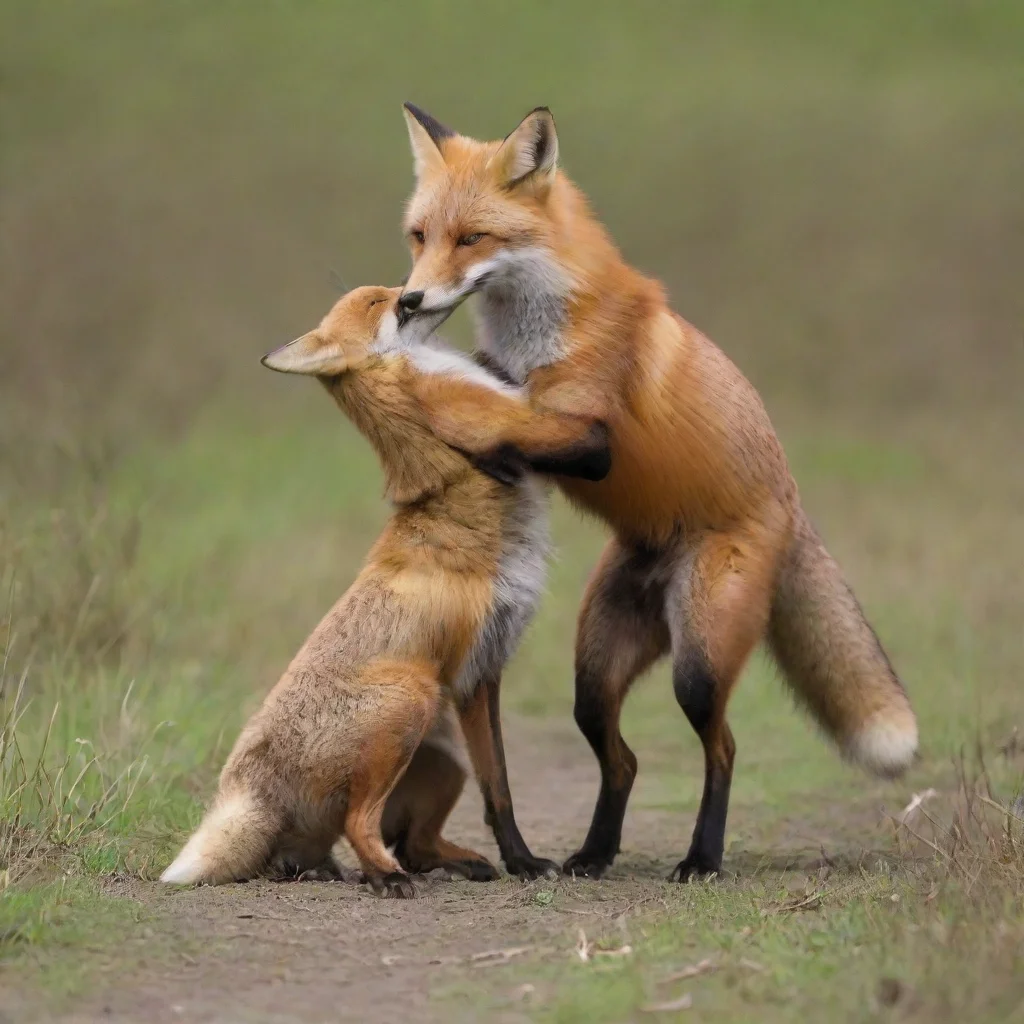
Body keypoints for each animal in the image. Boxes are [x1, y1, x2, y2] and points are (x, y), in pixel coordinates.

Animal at [160, 285, 612, 895]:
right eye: (379, 301)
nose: (415, 293)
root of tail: (253, 787)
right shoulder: (470, 673)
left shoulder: (489, 667)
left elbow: (499, 790)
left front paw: (520, 860)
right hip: (411, 700)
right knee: (363, 825)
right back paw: (385, 877)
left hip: (444, 757)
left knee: (412, 845)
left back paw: (444, 864)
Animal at [394, 102, 919, 882]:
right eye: (420, 236)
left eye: (472, 238)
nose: (407, 301)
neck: (542, 325)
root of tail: (790, 502)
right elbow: (495, 393)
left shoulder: (592, 441)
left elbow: (512, 422)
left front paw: (446, 416)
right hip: (594, 672)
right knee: (624, 760)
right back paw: (595, 852)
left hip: (697, 668)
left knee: (723, 749)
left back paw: (702, 858)